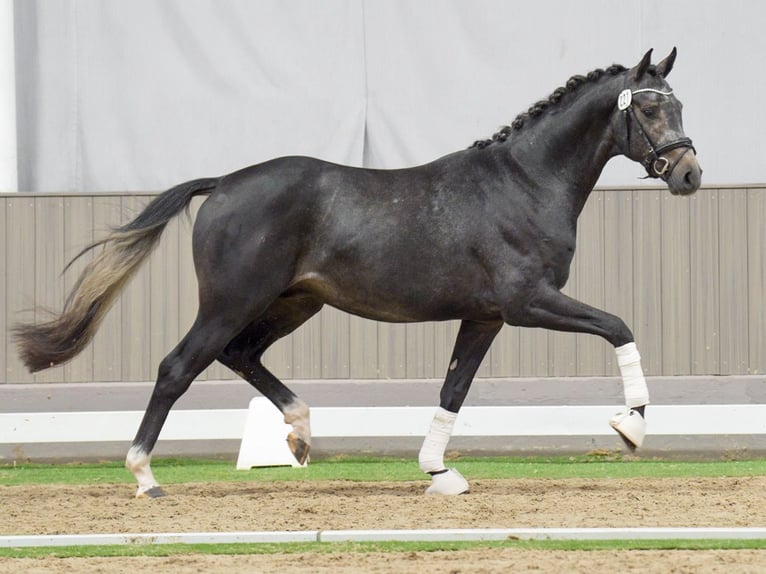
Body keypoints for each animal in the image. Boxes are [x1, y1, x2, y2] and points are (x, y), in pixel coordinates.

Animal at [16, 49, 704, 498]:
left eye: (676, 105)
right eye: (647, 110)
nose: (690, 173)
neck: (525, 182)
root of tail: (225, 183)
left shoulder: (484, 316)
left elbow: (454, 390)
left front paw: (439, 474)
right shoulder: (528, 302)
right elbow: (618, 326)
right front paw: (631, 428)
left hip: (294, 303)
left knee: (241, 355)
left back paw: (298, 435)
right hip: (232, 301)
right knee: (177, 367)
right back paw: (145, 477)